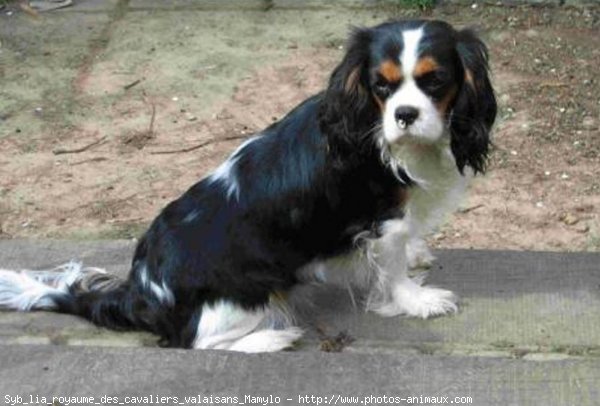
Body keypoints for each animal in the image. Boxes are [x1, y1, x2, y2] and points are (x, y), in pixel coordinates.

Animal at [0, 19, 496, 352]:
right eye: (381, 86)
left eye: (435, 80)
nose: (405, 114)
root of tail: (140, 289)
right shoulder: (382, 220)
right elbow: (391, 271)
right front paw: (417, 299)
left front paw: (416, 257)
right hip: (248, 291)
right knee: (195, 342)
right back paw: (272, 339)